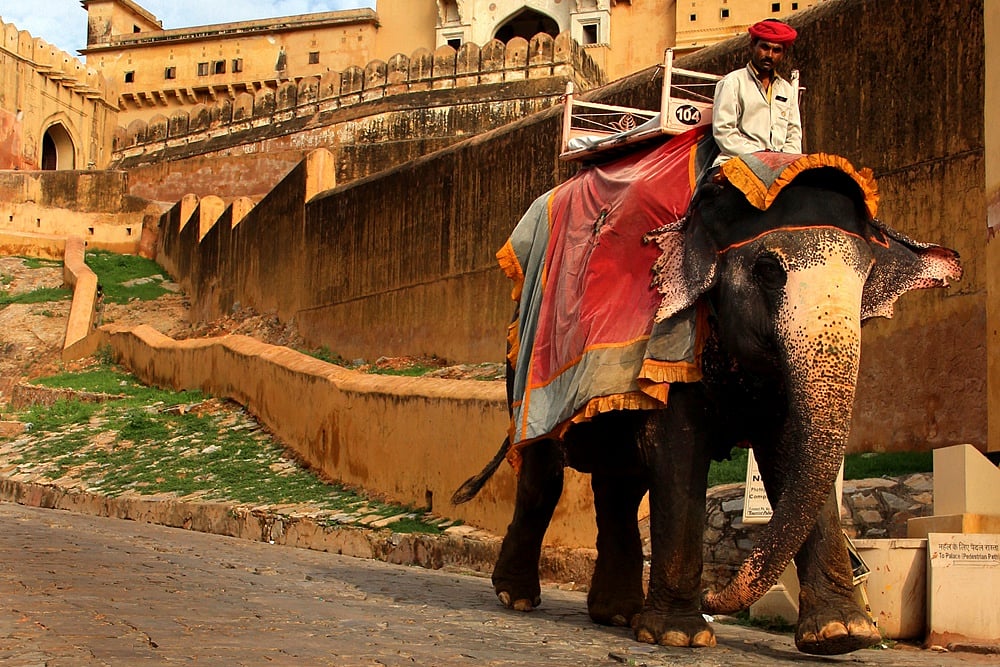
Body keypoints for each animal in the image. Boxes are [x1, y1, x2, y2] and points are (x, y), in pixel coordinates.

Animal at [453, 154, 962, 656]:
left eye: (867, 277)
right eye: (768, 271)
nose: (715, 597)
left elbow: (789, 456)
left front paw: (843, 635)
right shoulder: (671, 339)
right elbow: (678, 453)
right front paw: (679, 636)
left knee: (620, 485)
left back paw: (616, 614)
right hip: (523, 372)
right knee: (544, 476)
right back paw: (517, 597)